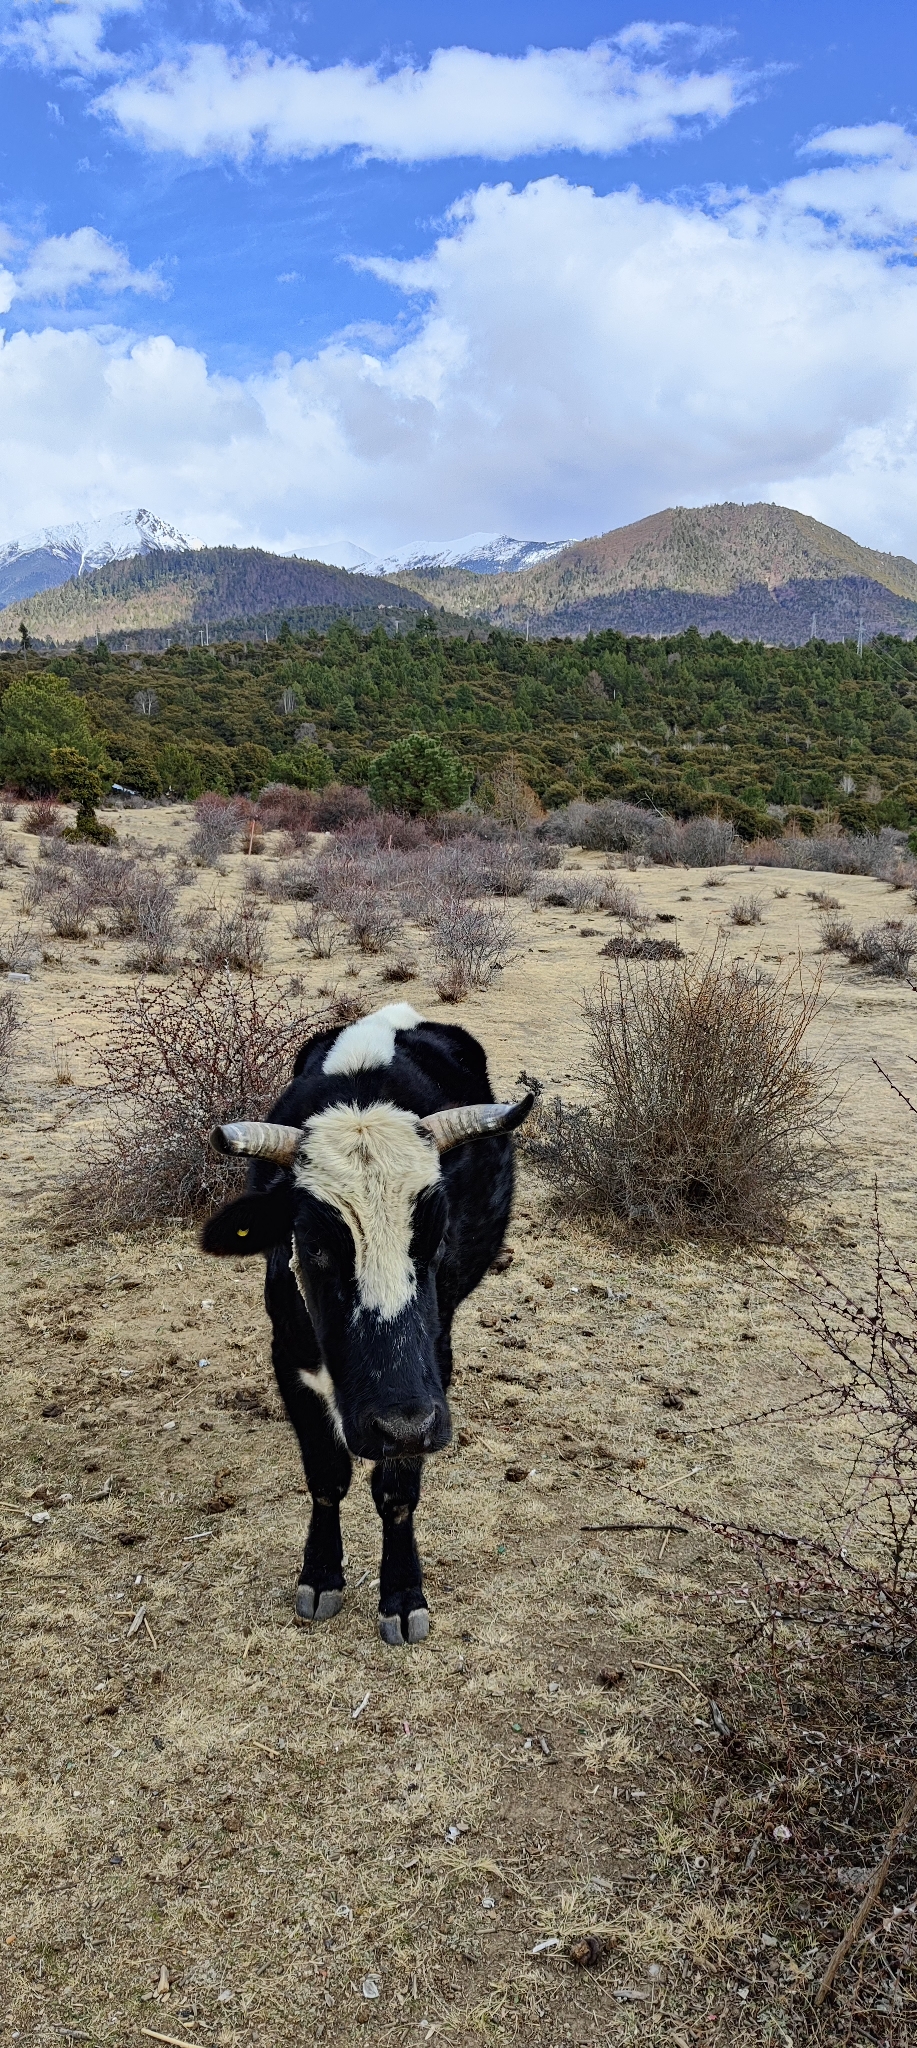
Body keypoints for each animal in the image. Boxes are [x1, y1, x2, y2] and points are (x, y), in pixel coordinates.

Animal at [198, 1007, 532, 1646]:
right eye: (314, 1244)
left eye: (435, 1236)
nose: (400, 1424)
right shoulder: (290, 1358)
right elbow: (327, 1475)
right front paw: (321, 1574)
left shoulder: (432, 1369)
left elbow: (397, 1492)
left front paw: (402, 1594)